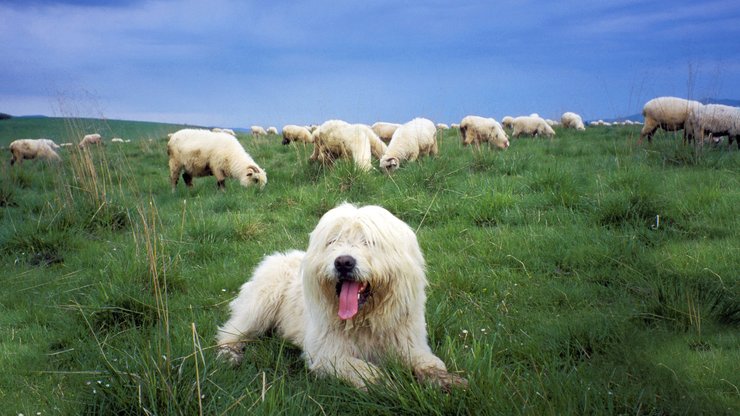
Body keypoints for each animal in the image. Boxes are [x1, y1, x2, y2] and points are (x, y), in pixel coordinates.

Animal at [217, 202, 466, 390]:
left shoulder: (410, 344)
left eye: (369, 241)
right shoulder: (327, 354)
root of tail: (276, 257)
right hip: (261, 303)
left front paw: (446, 380)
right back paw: (229, 354)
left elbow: (429, 362)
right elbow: (364, 371)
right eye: (332, 241)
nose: (343, 262)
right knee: (230, 332)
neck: (365, 321)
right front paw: (390, 385)